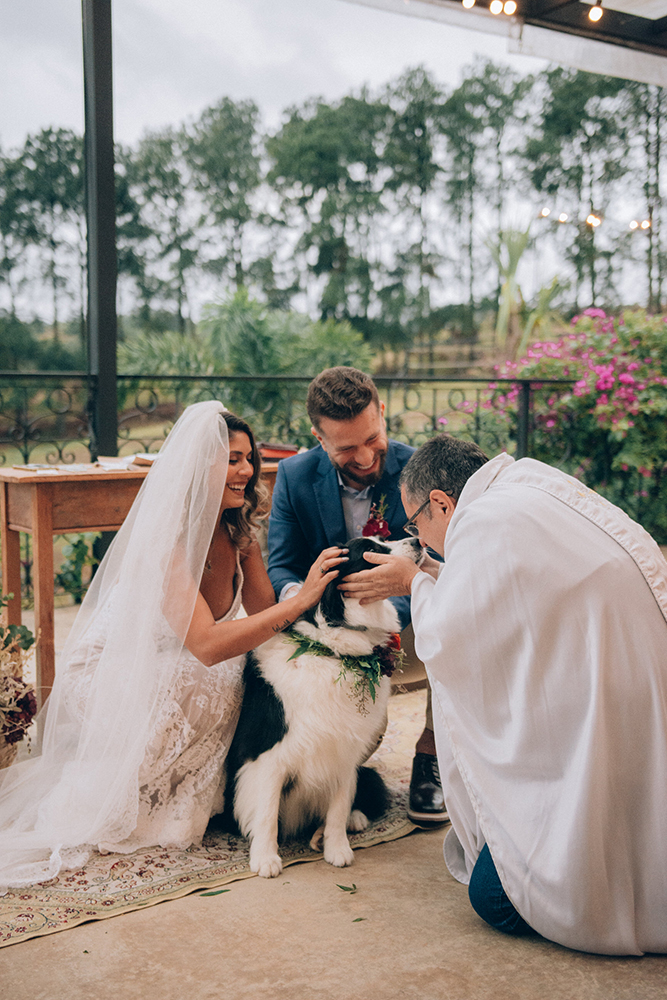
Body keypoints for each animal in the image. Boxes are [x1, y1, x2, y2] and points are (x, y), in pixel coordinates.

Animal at [224, 540, 422, 876]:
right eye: (370, 549)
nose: (418, 541)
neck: (333, 651)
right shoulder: (267, 755)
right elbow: (266, 810)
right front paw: (265, 858)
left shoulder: (344, 749)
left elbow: (339, 806)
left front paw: (337, 848)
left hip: (366, 772)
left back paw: (345, 824)